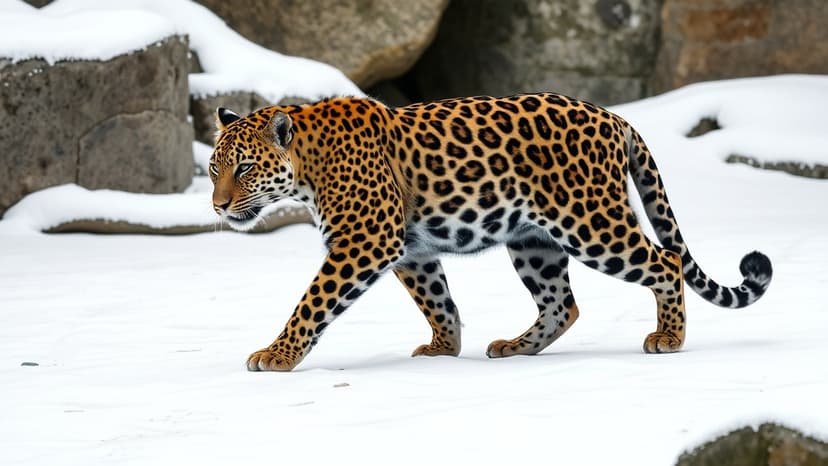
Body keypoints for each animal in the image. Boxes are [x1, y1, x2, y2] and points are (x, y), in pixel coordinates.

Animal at [209, 93, 773, 372]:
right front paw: (445, 348)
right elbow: (437, 300)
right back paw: (516, 348)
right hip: (533, 240)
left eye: (244, 169)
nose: (217, 206)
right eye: (214, 169)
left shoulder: (364, 241)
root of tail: (616, 118)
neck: (306, 165)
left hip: (592, 222)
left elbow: (312, 302)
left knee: (665, 260)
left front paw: (277, 355)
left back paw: (669, 337)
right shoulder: (411, 249)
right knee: (562, 304)